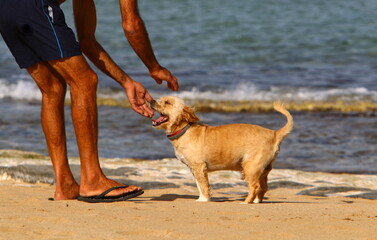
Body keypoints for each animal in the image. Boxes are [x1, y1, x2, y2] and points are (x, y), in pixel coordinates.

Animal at [151, 96, 294, 203]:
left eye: (167, 102)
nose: (151, 101)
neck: (184, 130)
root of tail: (274, 134)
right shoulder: (194, 169)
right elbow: (199, 186)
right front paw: (201, 198)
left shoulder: (199, 167)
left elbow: (203, 186)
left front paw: (203, 200)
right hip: (263, 169)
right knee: (263, 187)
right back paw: (255, 201)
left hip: (251, 167)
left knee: (255, 186)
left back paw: (246, 202)